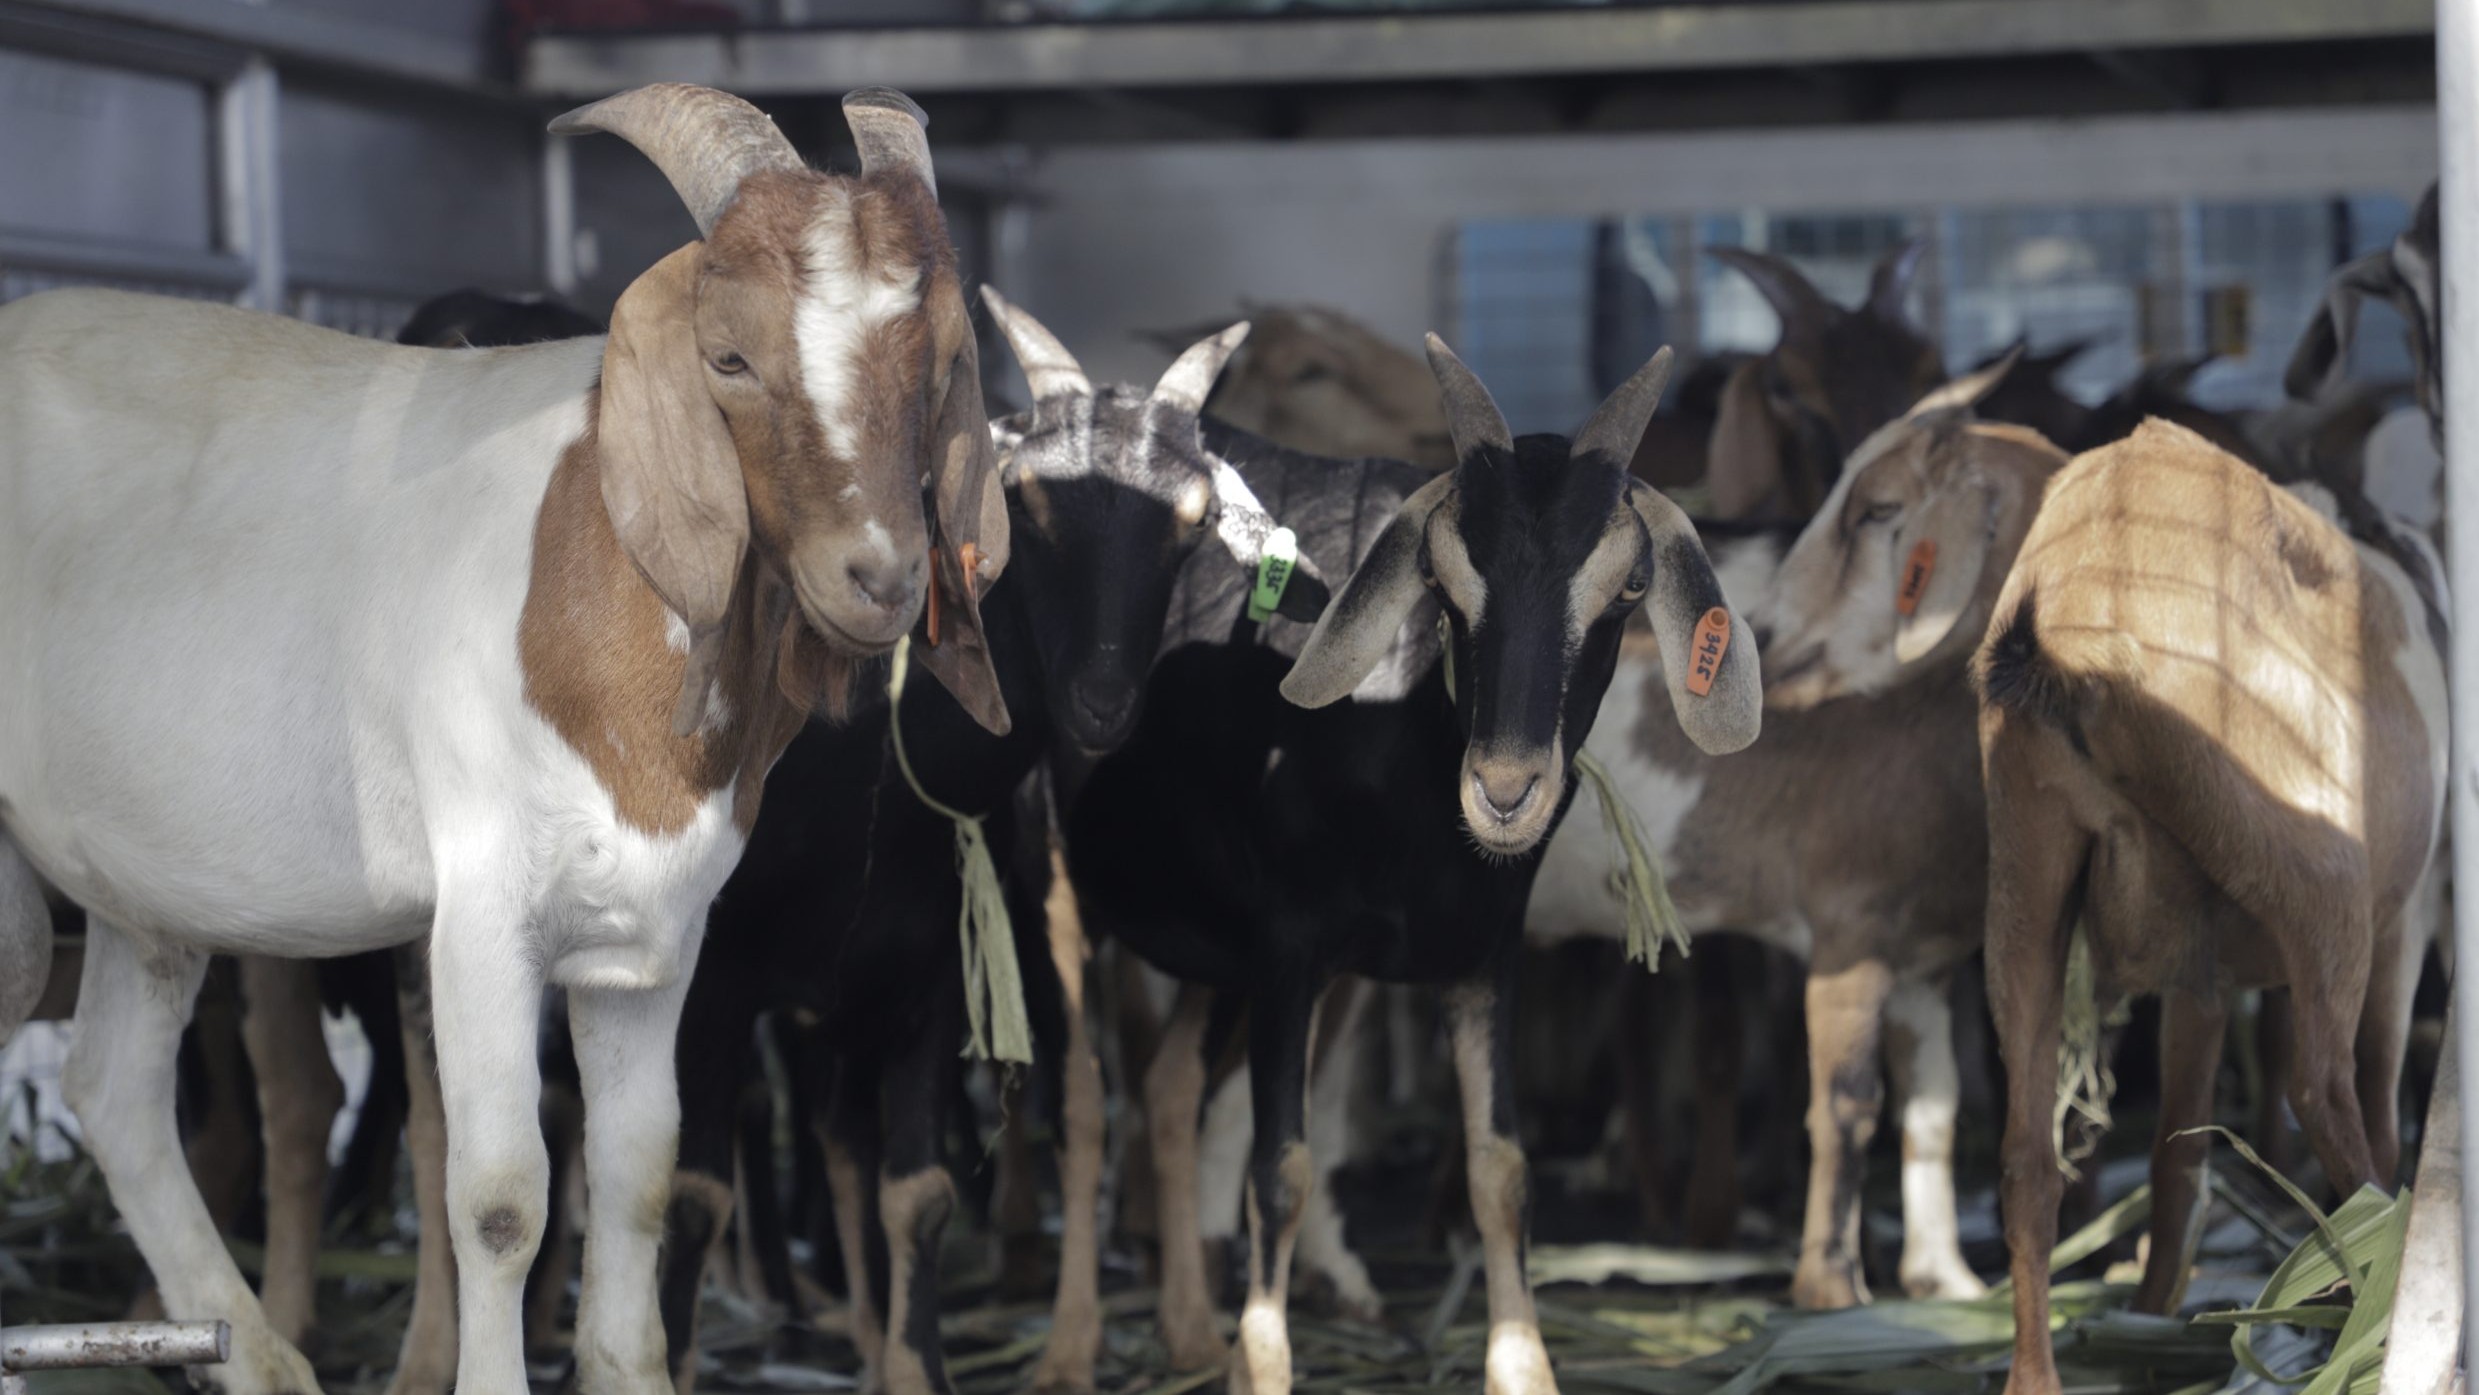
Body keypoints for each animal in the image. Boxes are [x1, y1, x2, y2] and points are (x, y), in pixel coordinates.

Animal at [0, 83, 1005, 1395]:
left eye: (939, 368)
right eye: (728, 355)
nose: (879, 578)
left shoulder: (657, 936)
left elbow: (639, 1177)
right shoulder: (482, 906)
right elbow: (498, 1197)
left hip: (143, 886)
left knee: (114, 1090)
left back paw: (260, 1357)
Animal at [656, 293, 1323, 1395]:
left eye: (1193, 522)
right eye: (1031, 505)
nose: (1100, 705)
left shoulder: (925, 973)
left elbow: (917, 1190)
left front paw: (915, 1362)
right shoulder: (716, 979)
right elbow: (689, 1194)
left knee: (843, 1135)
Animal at [1069, 337, 1760, 1395]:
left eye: (1630, 587)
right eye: (1439, 580)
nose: (1505, 790)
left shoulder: (1482, 952)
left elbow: (1501, 1168)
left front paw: (1524, 1366)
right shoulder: (1287, 948)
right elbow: (1280, 1167)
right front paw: (1263, 1361)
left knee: (1170, 1085)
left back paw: (1188, 1329)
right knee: (1079, 1100)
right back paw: (1069, 1346)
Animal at [1534, 358, 2063, 1308]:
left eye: (1879, 509)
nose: (1766, 637)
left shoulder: (1922, 957)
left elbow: (1930, 1107)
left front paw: (1944, 1278)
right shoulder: (1845, 930)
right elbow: (1847, 1104)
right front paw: (1830, 1285)